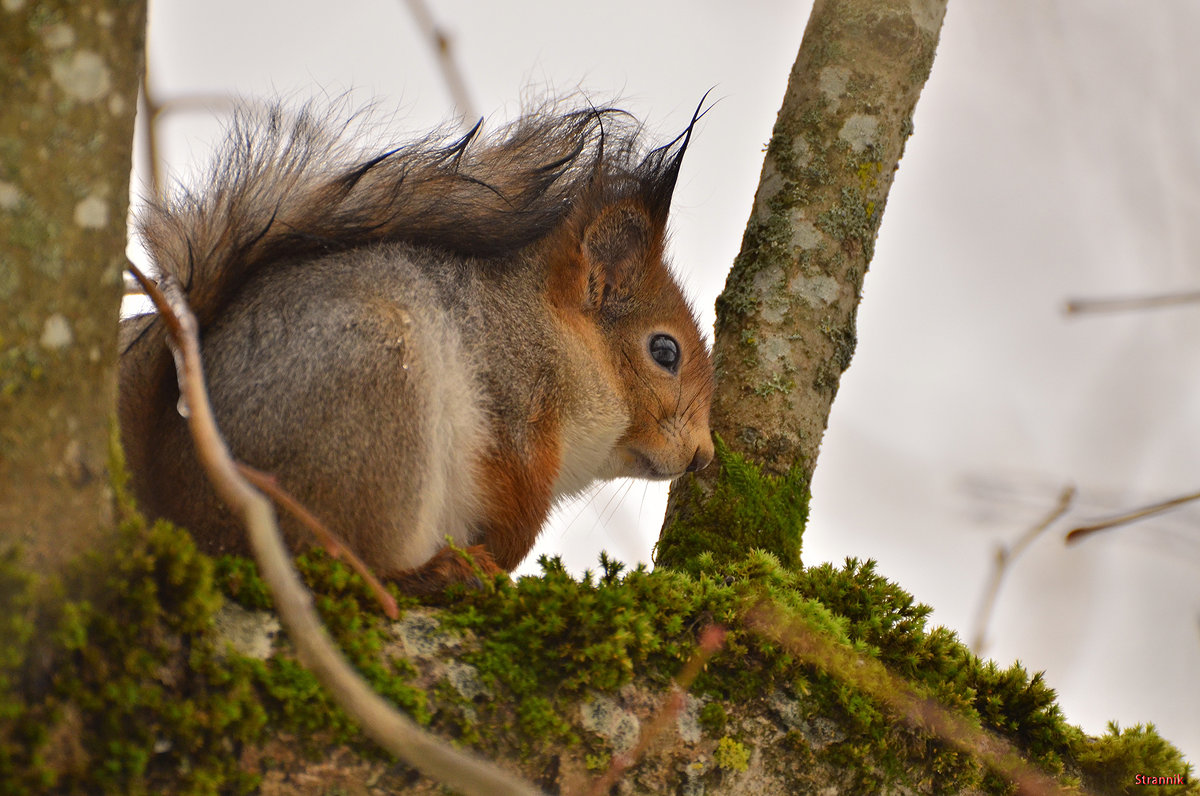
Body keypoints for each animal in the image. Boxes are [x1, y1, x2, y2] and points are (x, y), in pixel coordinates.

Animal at [121, 97, 715, 590]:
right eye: (665, 351)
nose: (703, 456)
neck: (549, 330)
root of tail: (181, 507)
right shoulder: (512, 401)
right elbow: (516, 504)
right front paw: (501, 558)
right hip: (376, 417)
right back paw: (436, 570)